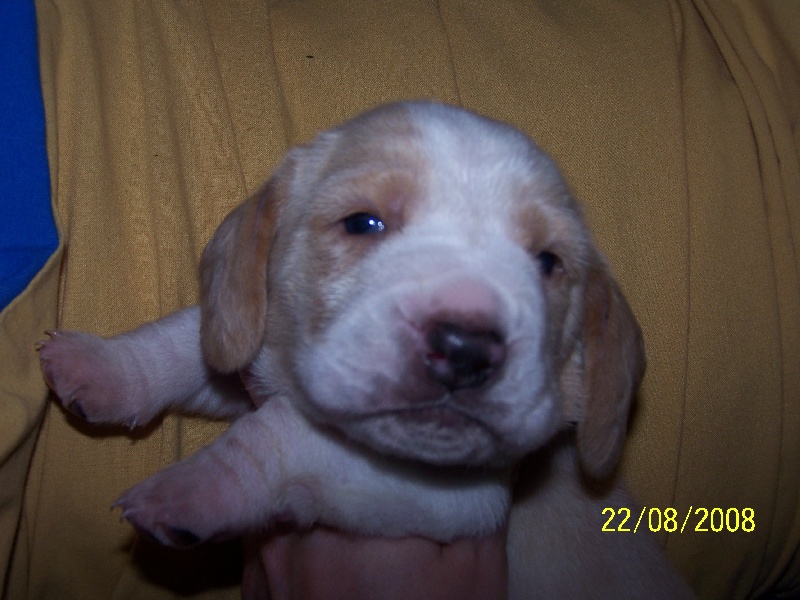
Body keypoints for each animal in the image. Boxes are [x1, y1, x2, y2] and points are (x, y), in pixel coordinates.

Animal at [39, 101, 693, 597]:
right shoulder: (261, 361)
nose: (465, 348)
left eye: (549, 262)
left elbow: (277, 436)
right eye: (362, 223)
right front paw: (99, 367)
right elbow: (184, 345)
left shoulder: (446, 497)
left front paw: (190, 490)